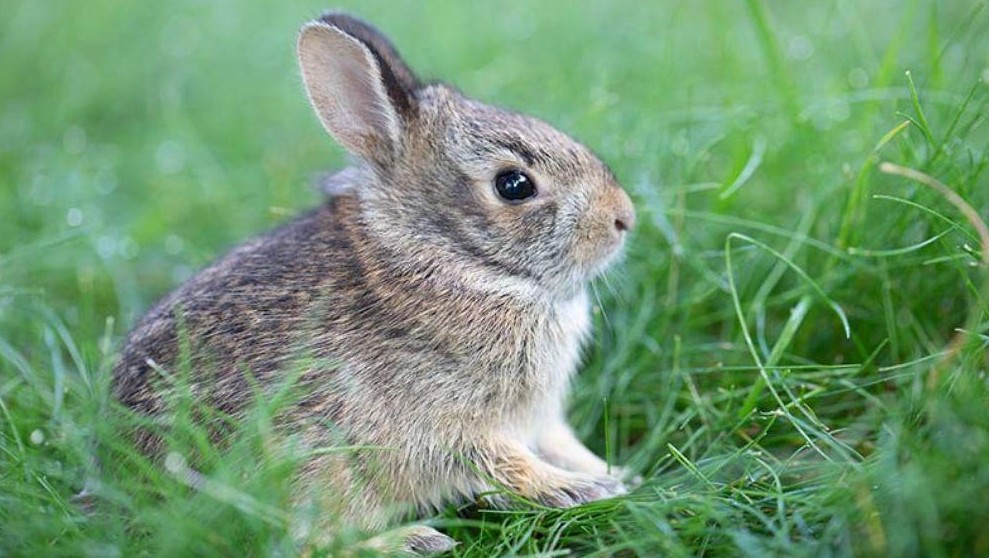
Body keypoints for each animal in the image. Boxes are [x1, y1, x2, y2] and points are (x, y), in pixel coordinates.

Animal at [112, 12, 636, 555]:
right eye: (514, 185)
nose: (624, 218)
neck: (449, 256)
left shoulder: (541, 419)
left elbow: (561, 443)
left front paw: (616, 474)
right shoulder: (446, 423)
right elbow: (503, 461)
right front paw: (576, 488)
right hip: (311, 467)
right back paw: (411, 541)